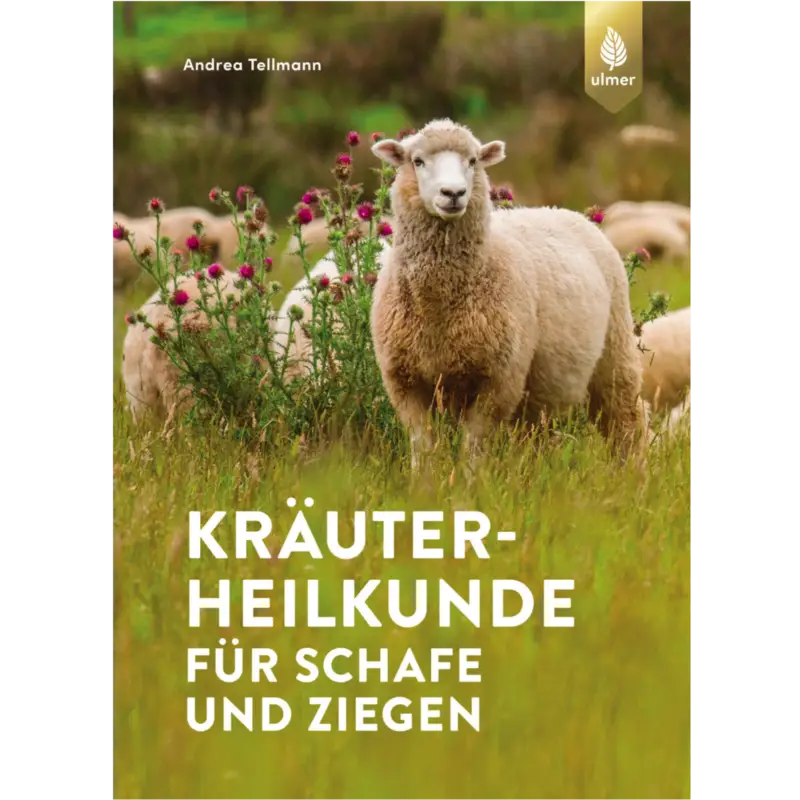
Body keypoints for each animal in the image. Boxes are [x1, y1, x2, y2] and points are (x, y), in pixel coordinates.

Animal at [369, 118, 647, 469]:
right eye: (417, 161)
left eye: (472, 161)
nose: (453, 193)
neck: (438, 310)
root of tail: (562, 210)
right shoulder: (405, 381)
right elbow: (425, 448)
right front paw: (425, 482)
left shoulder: (499, 381)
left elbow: (474, 448)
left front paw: (471, 481)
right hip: (541, 392)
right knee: (538, 437)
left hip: (615, 352)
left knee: (626, 420)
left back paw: (632, 472)